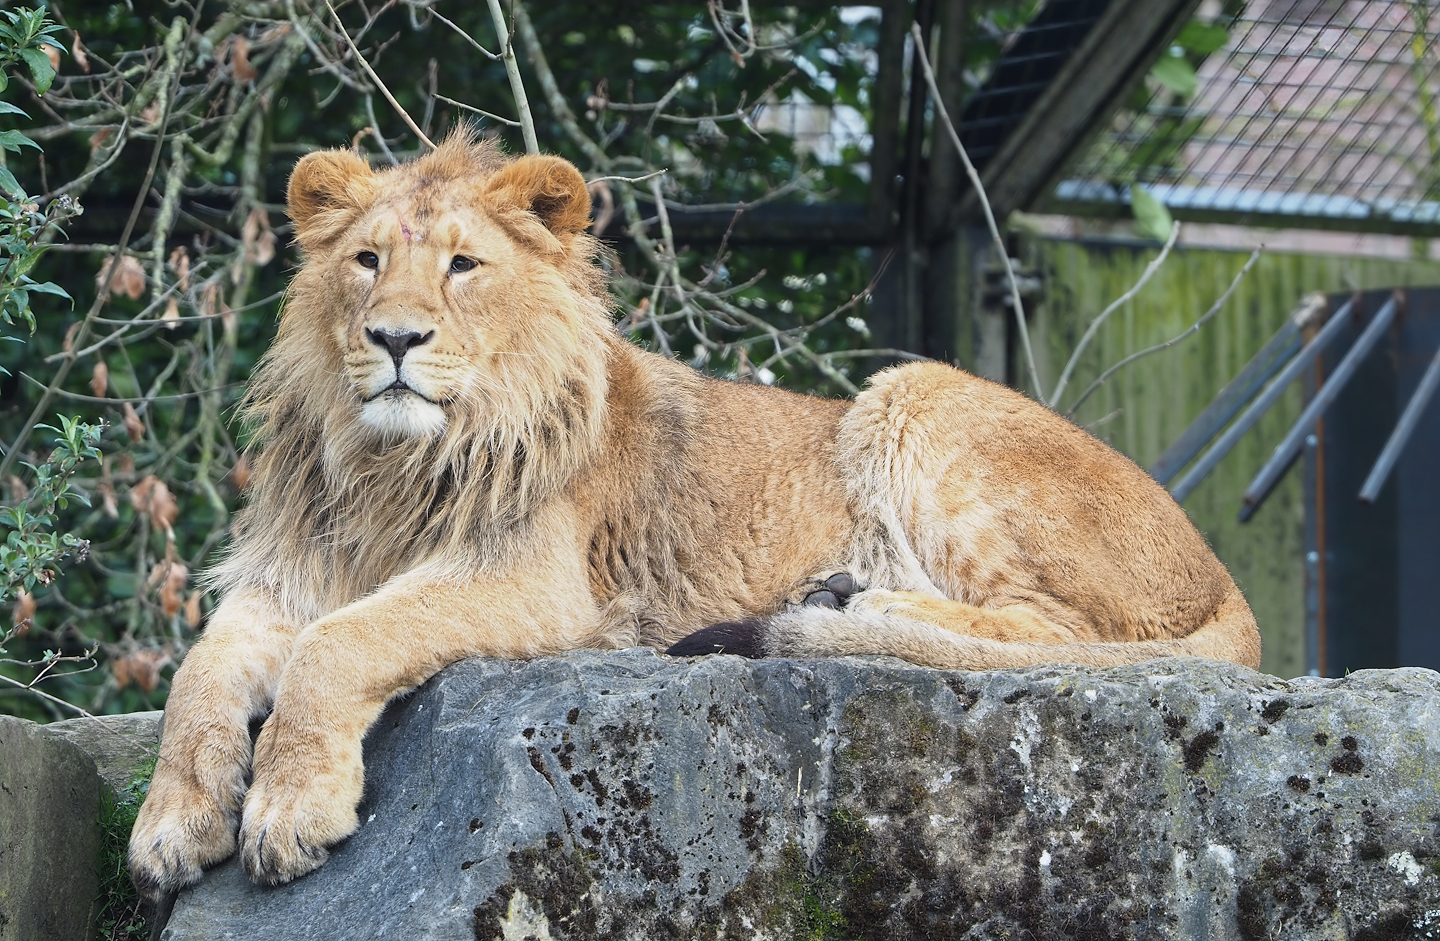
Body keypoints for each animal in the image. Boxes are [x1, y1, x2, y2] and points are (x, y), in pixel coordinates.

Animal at [128, 132, 1260, 897]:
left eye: (461, 265)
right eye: (367, 260)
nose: (394, 337)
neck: (393, 465)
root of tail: (1228, 579)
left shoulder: (541, 582)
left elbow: (339, 643)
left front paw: (289, 807)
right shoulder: (291, 572)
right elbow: (201, 671)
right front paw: (172, 821)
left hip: (914, 393)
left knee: (1053, 630)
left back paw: (857, 604)